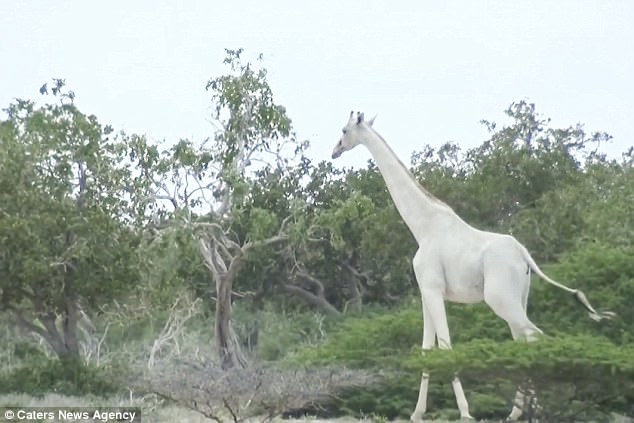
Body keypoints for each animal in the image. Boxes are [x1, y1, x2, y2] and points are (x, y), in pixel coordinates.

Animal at [330, 111, 612, 422]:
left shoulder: (432, 288)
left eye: (344, 130)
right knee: (523, 341)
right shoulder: (426, 292)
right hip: (520, 297)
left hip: (500, 299)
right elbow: (427, 349)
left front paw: (465, 412)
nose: (334, 151)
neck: (423, 227)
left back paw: (538, 410)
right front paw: (417, 412)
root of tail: (524, 255)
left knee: (536, 338)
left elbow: (445, 346)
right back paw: (519, 412)